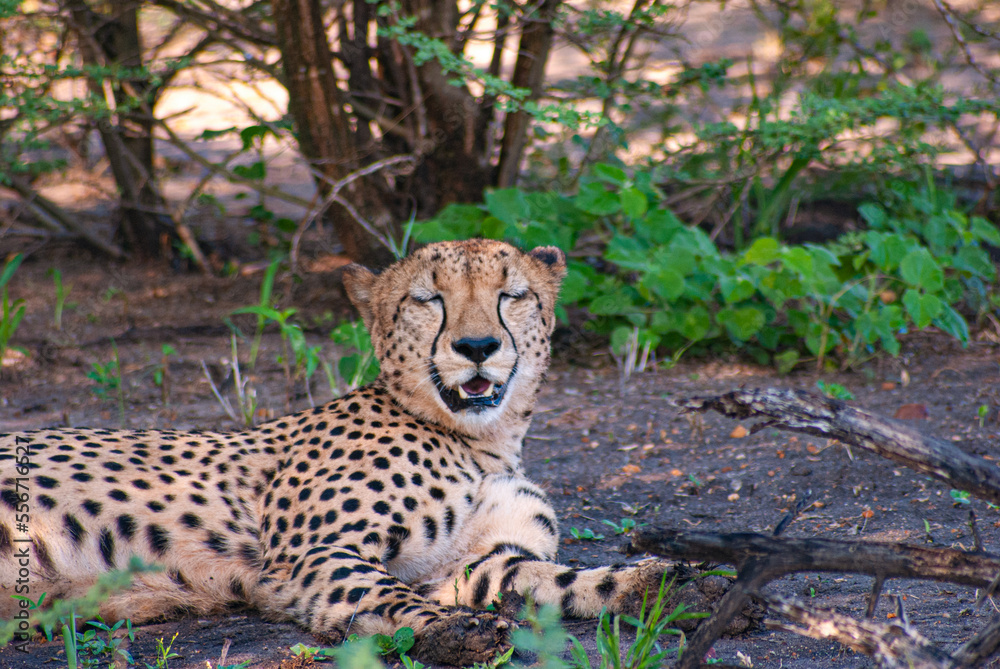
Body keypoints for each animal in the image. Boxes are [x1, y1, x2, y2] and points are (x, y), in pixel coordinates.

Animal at [0, 239, 735, 664]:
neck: (483, 440)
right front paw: (451, 631)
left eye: (512, 294)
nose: (476, 347)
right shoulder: (309, 556)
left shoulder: (477, 561)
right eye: (427, 299)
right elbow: (384, 590)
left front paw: (669, 584)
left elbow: (563, 580)